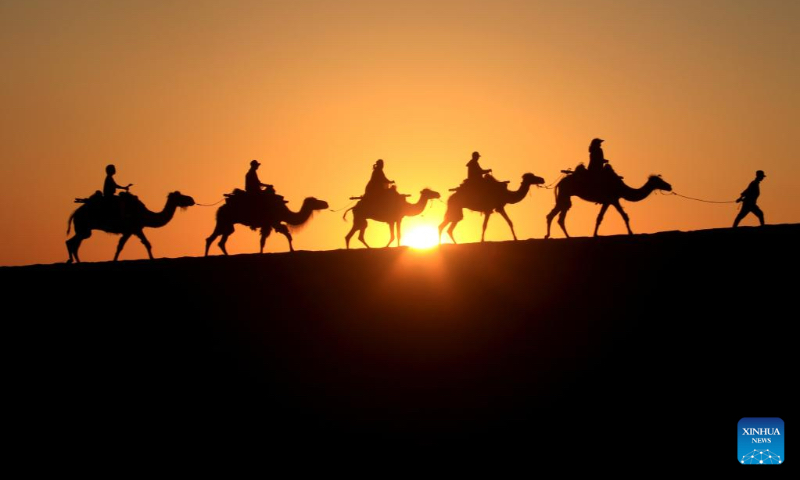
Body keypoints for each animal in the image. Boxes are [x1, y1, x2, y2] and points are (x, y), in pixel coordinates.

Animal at [66, 190, 195, 262]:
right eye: (180, 196)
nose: (191, 199)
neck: (144, 214)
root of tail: (75, 213)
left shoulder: (136, 229)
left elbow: (146, 244)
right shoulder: (132, 229)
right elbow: (121, 246)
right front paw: (114, 260)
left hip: (84, 230)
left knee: (74, 244)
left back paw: (76, 261)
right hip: (84, 228)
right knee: (71, 243)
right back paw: (74, 261)